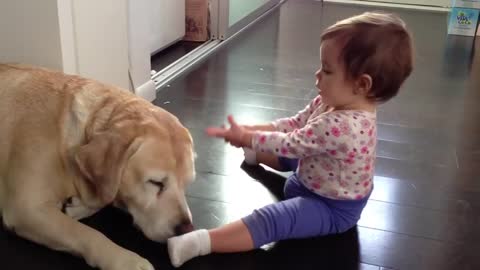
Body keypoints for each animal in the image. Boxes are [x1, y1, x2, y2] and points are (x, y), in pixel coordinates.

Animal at [0, 63, 197, 270]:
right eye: (155, 182)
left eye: (186, 184)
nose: (186, 229)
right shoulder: (25, 208)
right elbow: (84, 233)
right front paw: (126, 260)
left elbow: (103, 197)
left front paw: (78, 206)